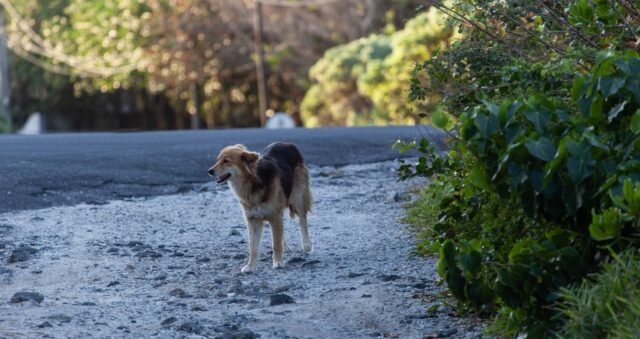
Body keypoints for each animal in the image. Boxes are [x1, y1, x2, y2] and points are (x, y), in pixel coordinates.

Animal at [208, 143, 312, 274]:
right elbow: (253, 247)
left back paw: (307, 244)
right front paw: (250, 266)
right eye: (217, 160)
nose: (209, 171)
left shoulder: (274, 215)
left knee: (302, 220)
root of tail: (287, 144)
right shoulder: (253, 220)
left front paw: (278, 262)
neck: (253, 182)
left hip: (298, 197)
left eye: (226, 161)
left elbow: (276, 244)